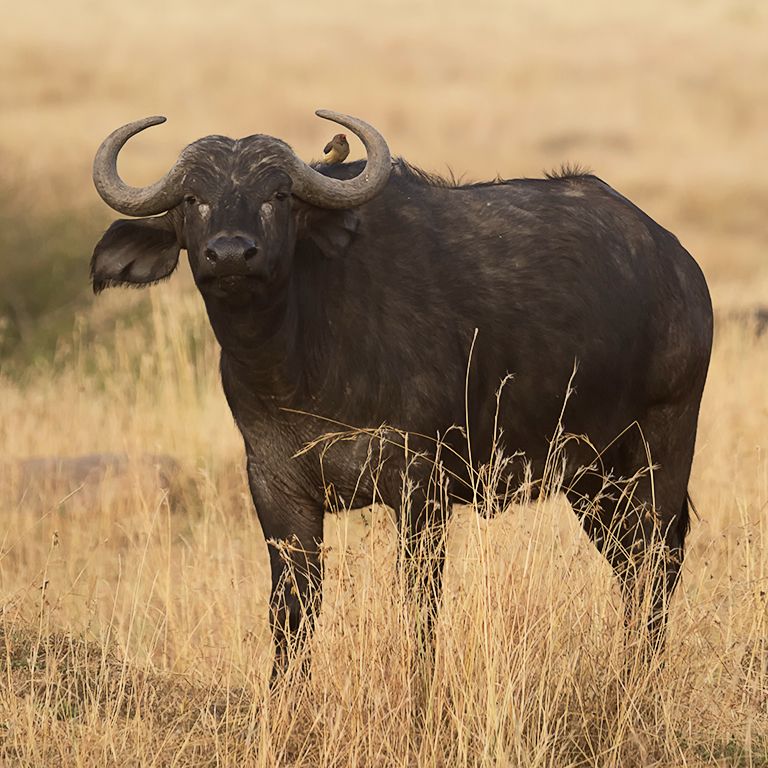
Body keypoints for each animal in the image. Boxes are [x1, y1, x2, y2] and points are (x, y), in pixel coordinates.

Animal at [91, 110, 713, 678]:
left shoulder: (422, 488)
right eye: (192, 198)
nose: (230, 254)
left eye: (279, 195)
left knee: (659, 561)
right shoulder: (276, 488)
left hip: (662, 446)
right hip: (591, 479)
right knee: (630, 568)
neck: (298, 362)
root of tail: (678, 264)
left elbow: (419, 607)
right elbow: (292, 613)